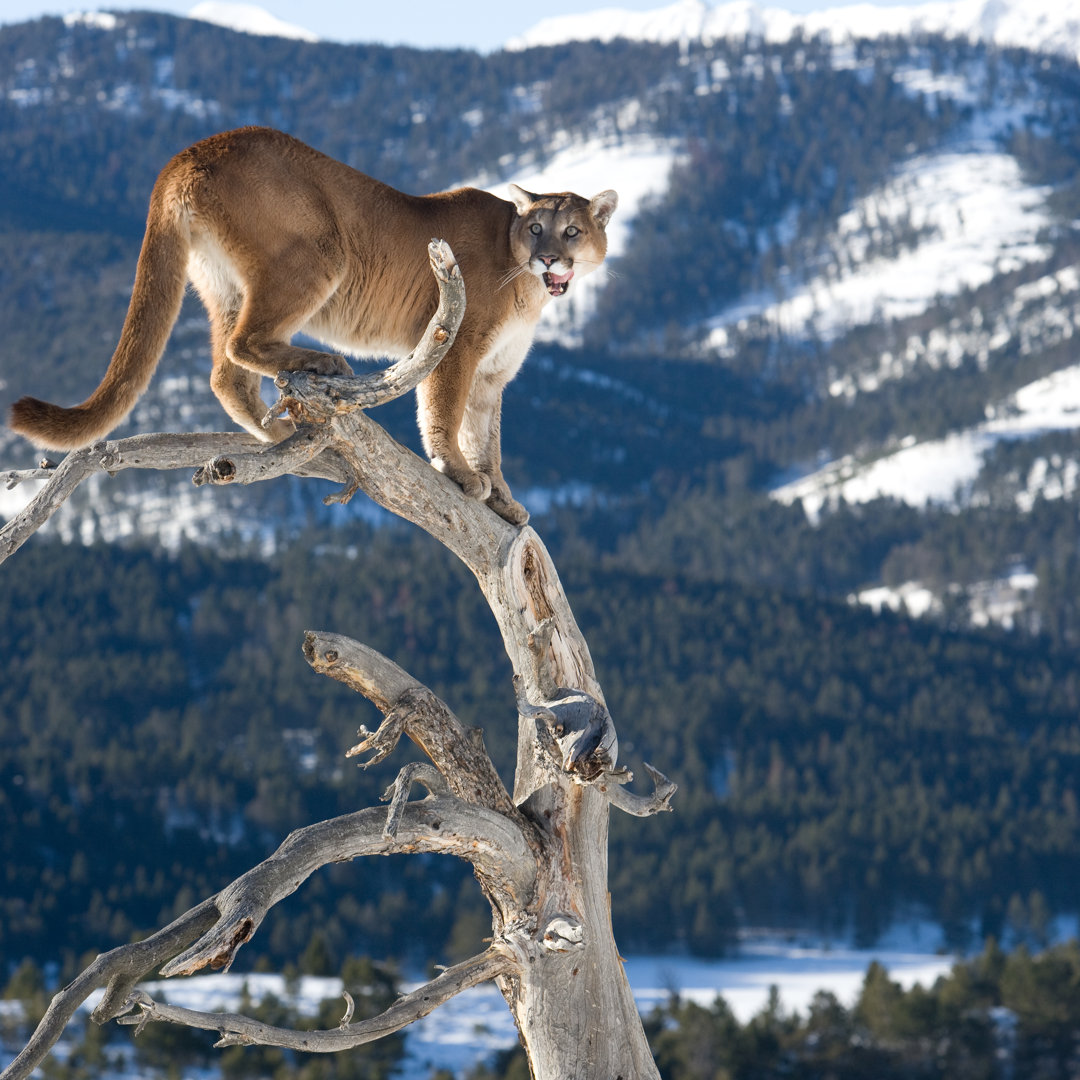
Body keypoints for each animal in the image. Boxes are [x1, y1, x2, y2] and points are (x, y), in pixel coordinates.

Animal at [8, 128, 622, 524]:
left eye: (570, 231)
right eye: (537, 227)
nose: (548, 257)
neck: (523, 283)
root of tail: (188, 151)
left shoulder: (493, 374)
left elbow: (488, 438)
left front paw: (502, 499)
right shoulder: (458, 344)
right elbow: (445, 416)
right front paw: (460, 474)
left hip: (222, 283)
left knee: (224, 373)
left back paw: (279, 433)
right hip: (320, 253)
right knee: (244, 344)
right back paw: (318, 365)